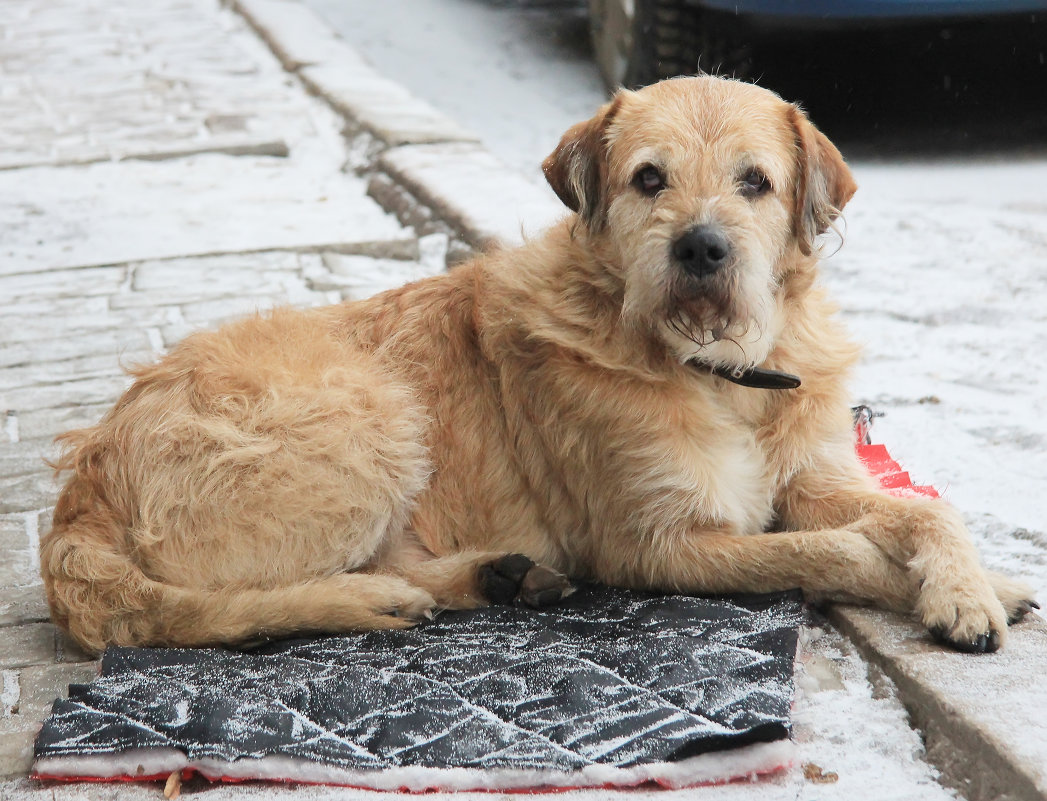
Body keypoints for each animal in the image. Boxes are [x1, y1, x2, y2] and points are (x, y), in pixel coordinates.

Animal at [42, 74, 1038, 653]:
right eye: (648, 178)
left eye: (754, 181)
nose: (701, 248)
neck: (721, 370)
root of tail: (86, 481)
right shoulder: (657, 544)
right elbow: (828, 549)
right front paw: (936, 589)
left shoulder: (810, 475)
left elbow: (919, 513)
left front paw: (974, 580)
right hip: (366, 414)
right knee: (197, 605)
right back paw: (368, 599)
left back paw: (492, 577)